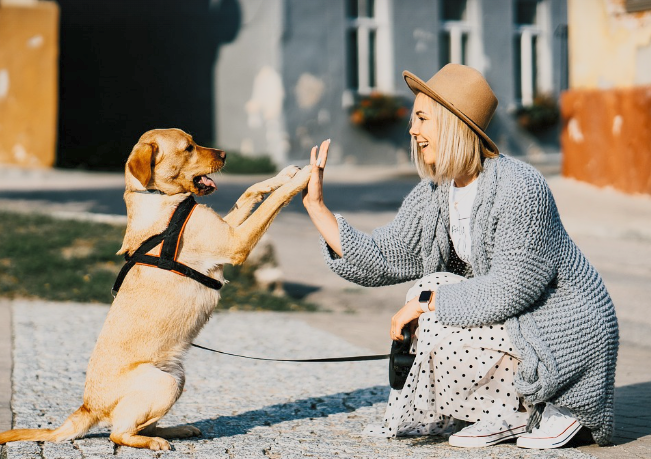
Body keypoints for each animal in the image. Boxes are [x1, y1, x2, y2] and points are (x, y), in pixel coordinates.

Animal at [0, 127, 314, 452]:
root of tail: (88, 406)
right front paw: (306, 176)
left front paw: (285, 174)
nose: (225, 154)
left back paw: (175, 430)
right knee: (118, 433)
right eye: (188, 148)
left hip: (177, 377)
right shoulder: (235, 242)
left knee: (140, 425)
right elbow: (272, 203)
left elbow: (251, 192)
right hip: (165, 383)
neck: (162, 199)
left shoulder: (227, 228)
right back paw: (154, 442)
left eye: (194, 141)